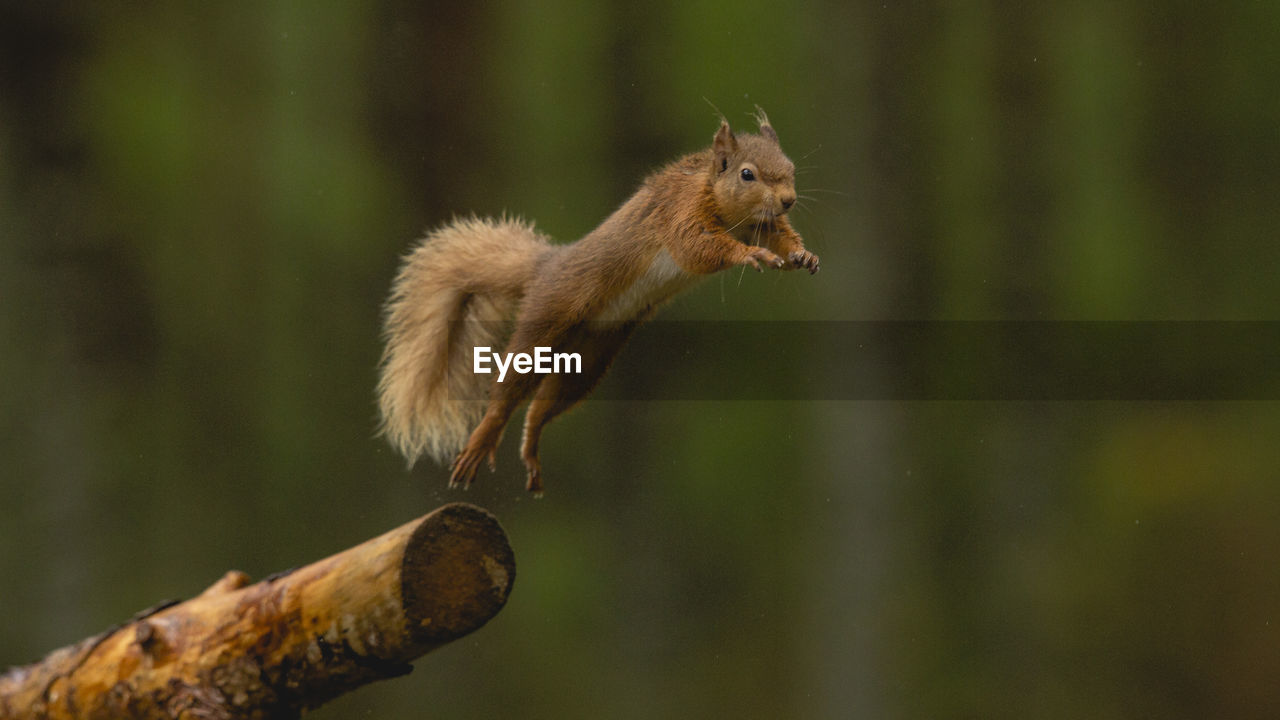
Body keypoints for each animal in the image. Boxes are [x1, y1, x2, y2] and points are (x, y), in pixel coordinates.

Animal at [378, 109, 819, 491]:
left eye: (791, 168)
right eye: (747, 174)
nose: (788, 200)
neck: (726, 207)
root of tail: (546, 268)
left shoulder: (762, 224)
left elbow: (781, 237)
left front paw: (802, 256)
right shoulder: (679, 216)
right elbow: (698, 249)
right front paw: (750, 256)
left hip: (589, 357)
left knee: (543, 405)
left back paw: (531, 448)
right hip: (545, 322)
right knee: (506, 394)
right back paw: (480, 441)